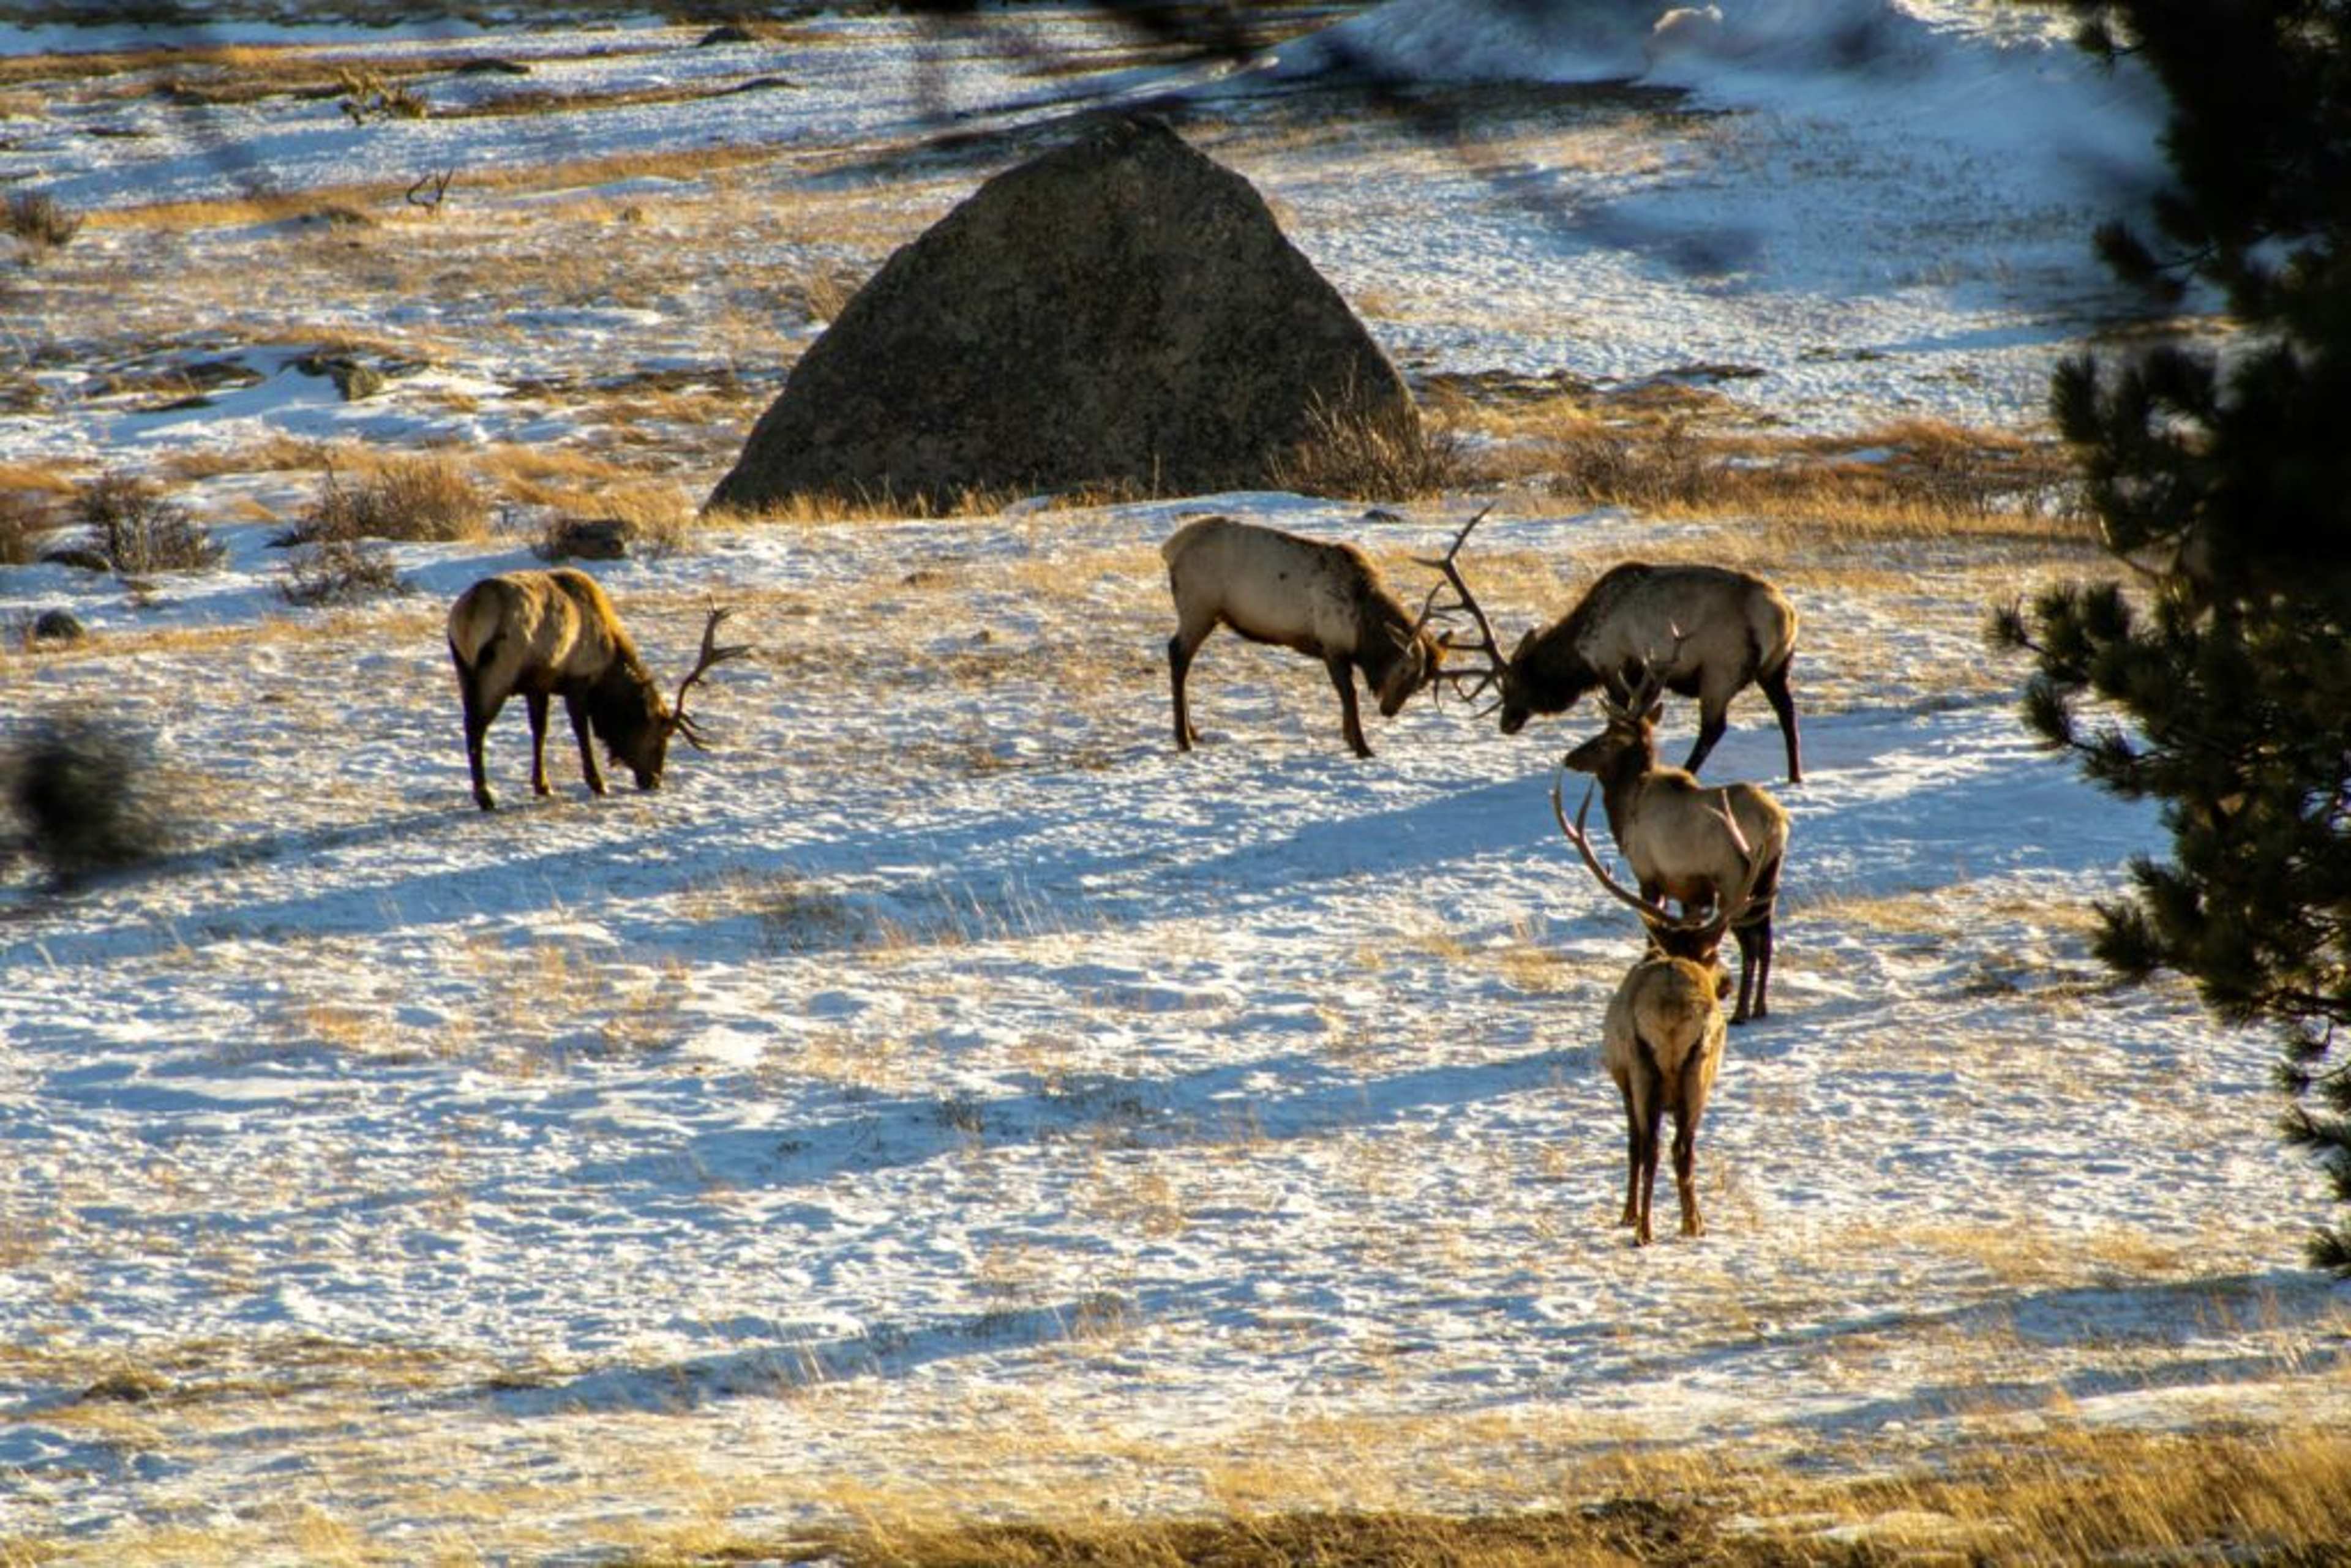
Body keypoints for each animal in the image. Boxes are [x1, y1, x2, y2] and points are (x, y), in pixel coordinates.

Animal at [446, 568, 750, 812]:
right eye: (659, 737)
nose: (654, 781)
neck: (609, 663)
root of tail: (468, 614)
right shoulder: (578, 678)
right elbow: (582, 730)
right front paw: (598, 783)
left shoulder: (539, 684)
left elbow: (540, 730)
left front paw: (543, 785)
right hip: (499, 670)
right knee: (475, 727)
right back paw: (485, 797)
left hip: (464, 670)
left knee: (470, 722)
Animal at [1161, 515, 1449, 759]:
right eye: (1405, 670)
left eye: (1420, 683)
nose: (1389, 711)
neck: (1362, 630)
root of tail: (1171, 548)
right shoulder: (1332, 646)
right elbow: (1349, 695)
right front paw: (1362, 747)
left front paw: (1349, 739)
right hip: (1199, 608)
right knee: (1177, 654)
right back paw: (1183, 740)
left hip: (1205, 613)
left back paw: (1193, 732)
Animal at [1427, 549, 1803, 782]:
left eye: (1517, 683)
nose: (1507, 723)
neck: (1581, 646)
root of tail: (1782, 616)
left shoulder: (1614, 662)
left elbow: (1619, 713)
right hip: (1776, 666)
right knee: (1787, 712)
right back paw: (1795, 775)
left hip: (1720, 668)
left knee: (1714, 728)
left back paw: (1687, 771)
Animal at [1554, 773, 1768, 1245]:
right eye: (1714, 954)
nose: (1726, 983)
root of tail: (1672, 1011)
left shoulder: (1623, 1076)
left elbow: (1634, 1145)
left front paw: (1629, 1214)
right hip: (1695, 1068)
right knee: (1680, 1147)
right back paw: (1690, 1223)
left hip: (1649, 1066)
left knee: (1655, 1146)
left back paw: (1648, 1228)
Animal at [1556, 647, 1790, 1024]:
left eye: (1604, 741)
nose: (1570, 756)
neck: (1626, 806)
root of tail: (1776, 823)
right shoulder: (1689, 890)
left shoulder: (1650, 874)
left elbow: (1652, 933)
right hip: (1769, 875)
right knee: (1766, 936)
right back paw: (1760, 1007)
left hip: (1734, 875)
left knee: (1750, 940)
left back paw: (1741, 1011)